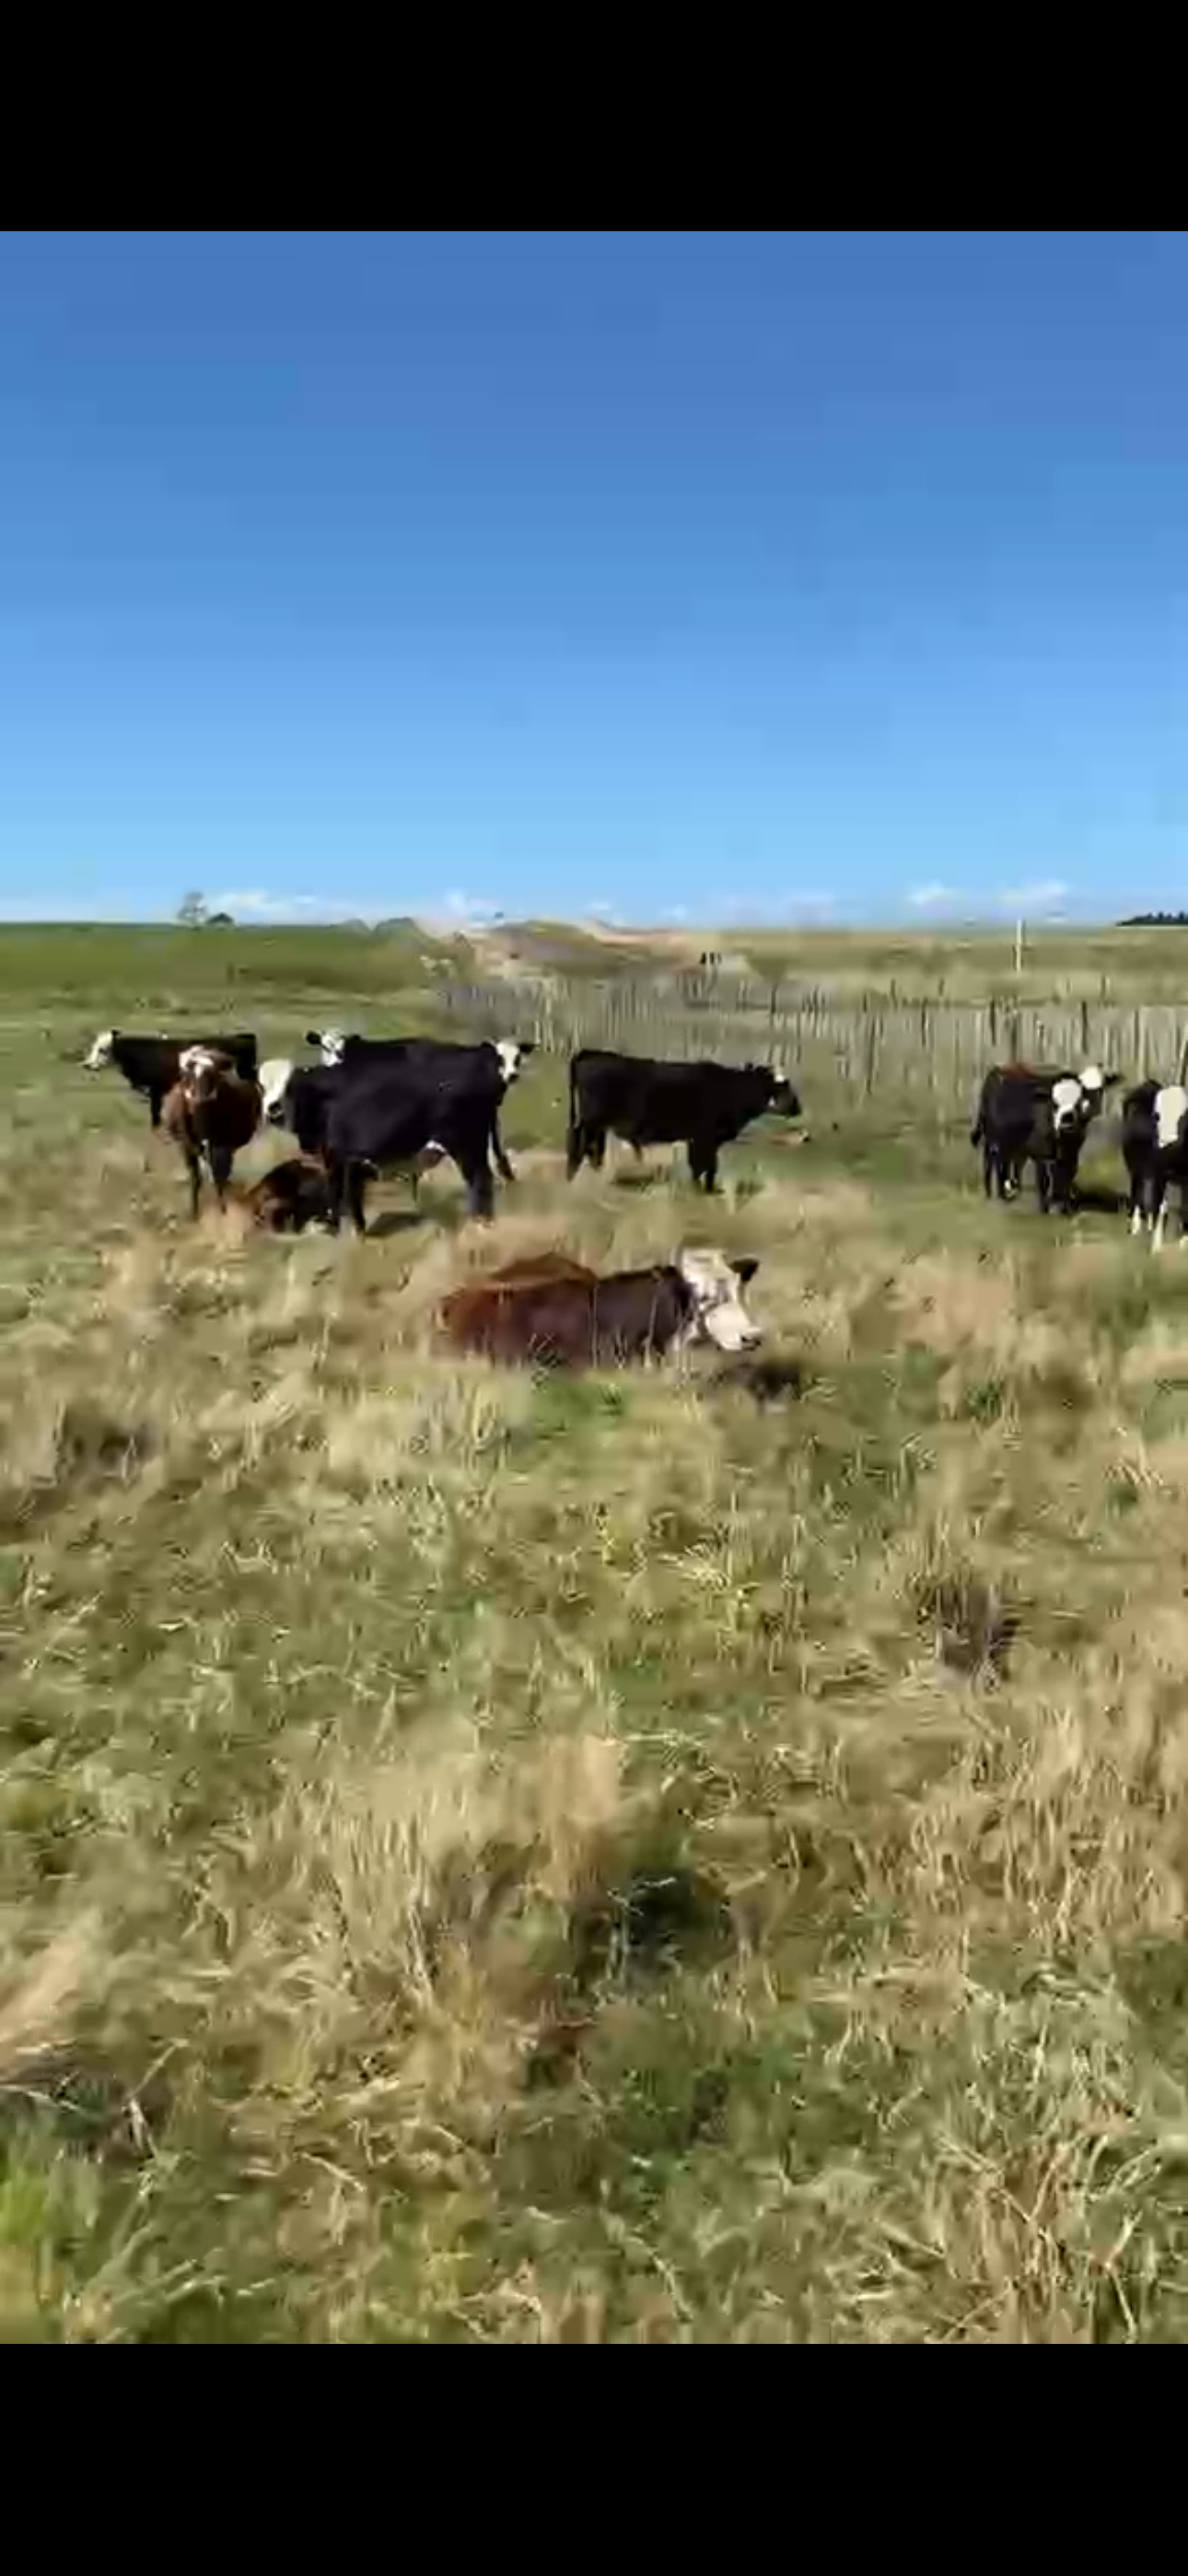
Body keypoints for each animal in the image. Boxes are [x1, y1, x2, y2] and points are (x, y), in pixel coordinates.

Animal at [85, 1030, 259, 1129]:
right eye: (93, 1047)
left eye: (102, 1050)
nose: (87, 1065)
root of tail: (243, 1037)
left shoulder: (156, 1090)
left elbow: (155, 1116)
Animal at [161, 1048, 263, 1219]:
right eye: (187, 1076)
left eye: (213, 1075)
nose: (199, 1100)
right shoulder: (187, 1147)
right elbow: (196, 1179)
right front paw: (194, 1213)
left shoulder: (222, 1147)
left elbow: (219, 1177)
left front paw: (223, 1211)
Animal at [566, 1051, 802, 1192]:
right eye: (784, 1086)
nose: (798, 1108)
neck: (733, 1089)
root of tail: (590, 1054)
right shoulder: (706, 1137)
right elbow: (707, 1166)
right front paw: (706, 1191)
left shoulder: (697, 1138)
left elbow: (700, 1166)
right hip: (589, 1122)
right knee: (579, 1146)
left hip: (597, 1126)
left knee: (593, 1149)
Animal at [971, 1062, 1118, 1213]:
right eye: (1054, 1103)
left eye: (1079, 1098)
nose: (1066, 1120)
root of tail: (999, 1069)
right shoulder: (1041, 1152)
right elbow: (1043, 1178)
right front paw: (1045, 1208)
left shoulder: (1072, 1151)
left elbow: (1069, 1172)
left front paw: (1066, 1207)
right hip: (992, 1137)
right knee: (993, 1162)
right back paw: (994, 1195)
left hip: (1014, 1143)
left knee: (1012, 1163)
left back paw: (1013, 1190)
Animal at [1122, 1081, 1188, 1248]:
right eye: (1156, 1116)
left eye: (1183, 1117)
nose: (1167, 1142)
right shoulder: (1159, 1173)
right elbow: (1160, 1205)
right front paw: (1156, 1246)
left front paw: (1183, 1242)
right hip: (1136, 1168)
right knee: (1138, 1193)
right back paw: (1135, 1227)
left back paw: (1149, 1225)